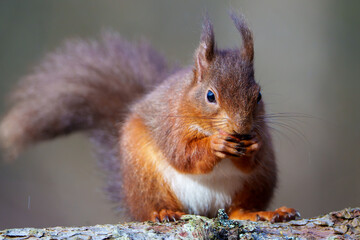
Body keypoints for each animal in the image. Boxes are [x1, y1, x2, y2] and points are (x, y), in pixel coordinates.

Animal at [0, 13, 298, 223]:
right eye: (210, 96)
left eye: (258, 96)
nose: (242, 127)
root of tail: (206, 209)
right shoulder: (169, 124)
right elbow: (183, 154)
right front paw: (216, 145)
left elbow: (252, 159)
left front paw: (253, 145)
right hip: (145, 176)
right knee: (149, 208)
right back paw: (163, 213)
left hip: (259, 181)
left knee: (239, 208)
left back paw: (260, 213)